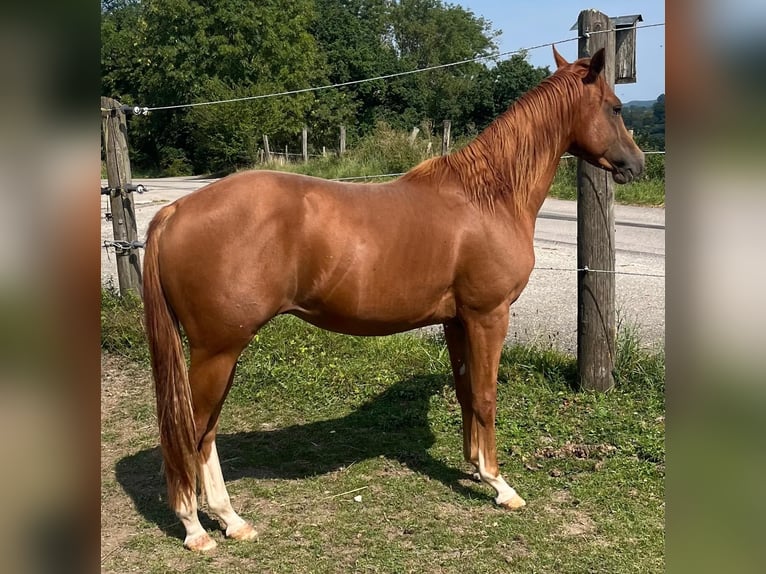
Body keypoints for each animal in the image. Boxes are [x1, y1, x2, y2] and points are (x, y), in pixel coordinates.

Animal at [143, 46, 644, 551]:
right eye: (616, 107)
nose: (637, 164)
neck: (489, 196)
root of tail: (175, 211)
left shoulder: (457, 321)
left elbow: (465, 393)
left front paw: (474, 469)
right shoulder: (489, 316)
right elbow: (485, 396)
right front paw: (500, 485)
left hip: (221, 353)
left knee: (205, 432)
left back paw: (230, 519)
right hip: (217, 351)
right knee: (190, 430)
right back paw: (195, 527)